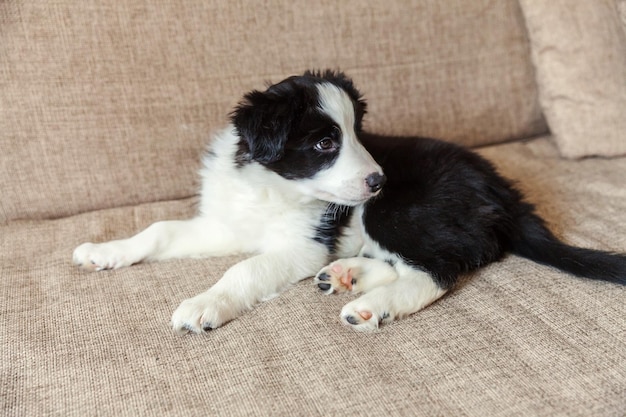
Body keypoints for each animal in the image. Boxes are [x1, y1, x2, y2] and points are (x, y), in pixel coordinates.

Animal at [75, 70, 624, 334]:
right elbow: (161, 229)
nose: (379, 179)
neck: (272, 186)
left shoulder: (303, 245)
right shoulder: (227, 223)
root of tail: (502, 190)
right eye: (324, 142)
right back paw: (347, 277)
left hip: (400, 212)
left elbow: (244, 269)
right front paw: (103, 252)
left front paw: (204, 304)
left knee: (440, 269)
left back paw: (371, 306)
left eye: (358, 133)